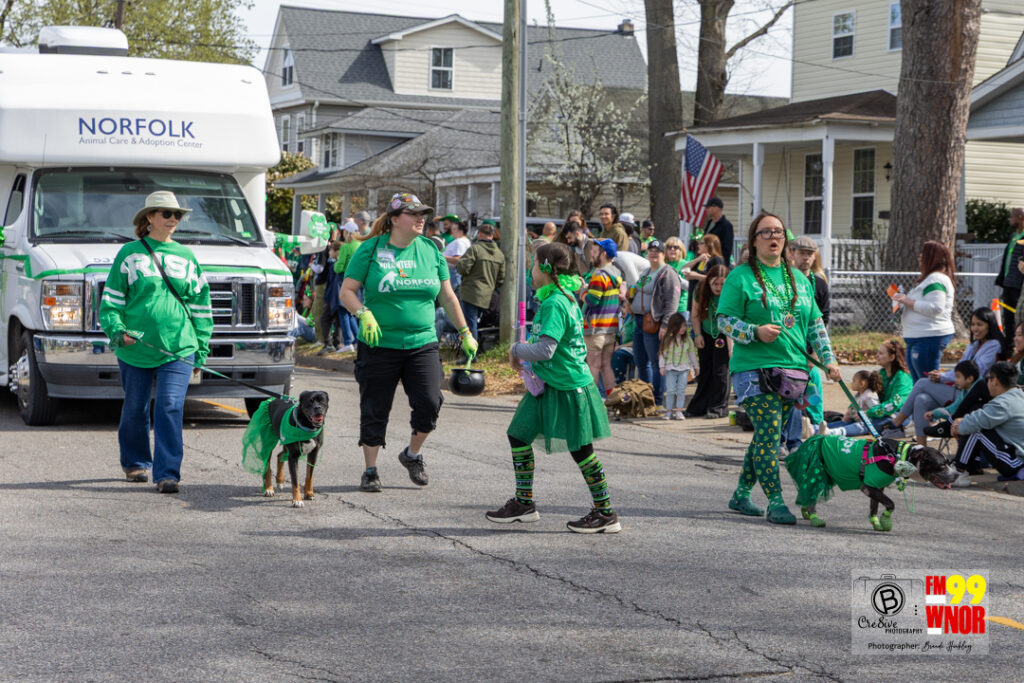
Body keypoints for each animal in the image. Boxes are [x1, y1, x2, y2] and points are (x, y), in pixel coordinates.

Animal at [785, 436, 958, 531]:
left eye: (949, 462)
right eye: (942, 465)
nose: (957, 474)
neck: (896, 455)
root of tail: (815, 439)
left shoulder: (877, 487)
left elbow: (874, 507)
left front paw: (877, 523)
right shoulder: (869, 486)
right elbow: (890, 503)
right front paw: (886, 519)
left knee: (807, 492)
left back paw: (806, 511)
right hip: (818, 473)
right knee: (811, 493)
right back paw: (815, 518)